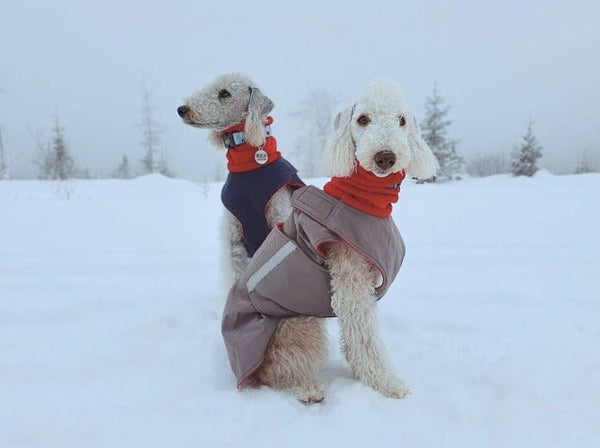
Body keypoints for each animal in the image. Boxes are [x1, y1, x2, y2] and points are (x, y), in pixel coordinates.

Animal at [223, 79, 438, 404]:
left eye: (401, 120)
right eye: (362, 119)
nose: (385, 156)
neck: (361, 200)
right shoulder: (351, 280)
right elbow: (365, 340)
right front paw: (387, 384)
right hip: (297, 324)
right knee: (274, 374)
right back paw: (306, 389)